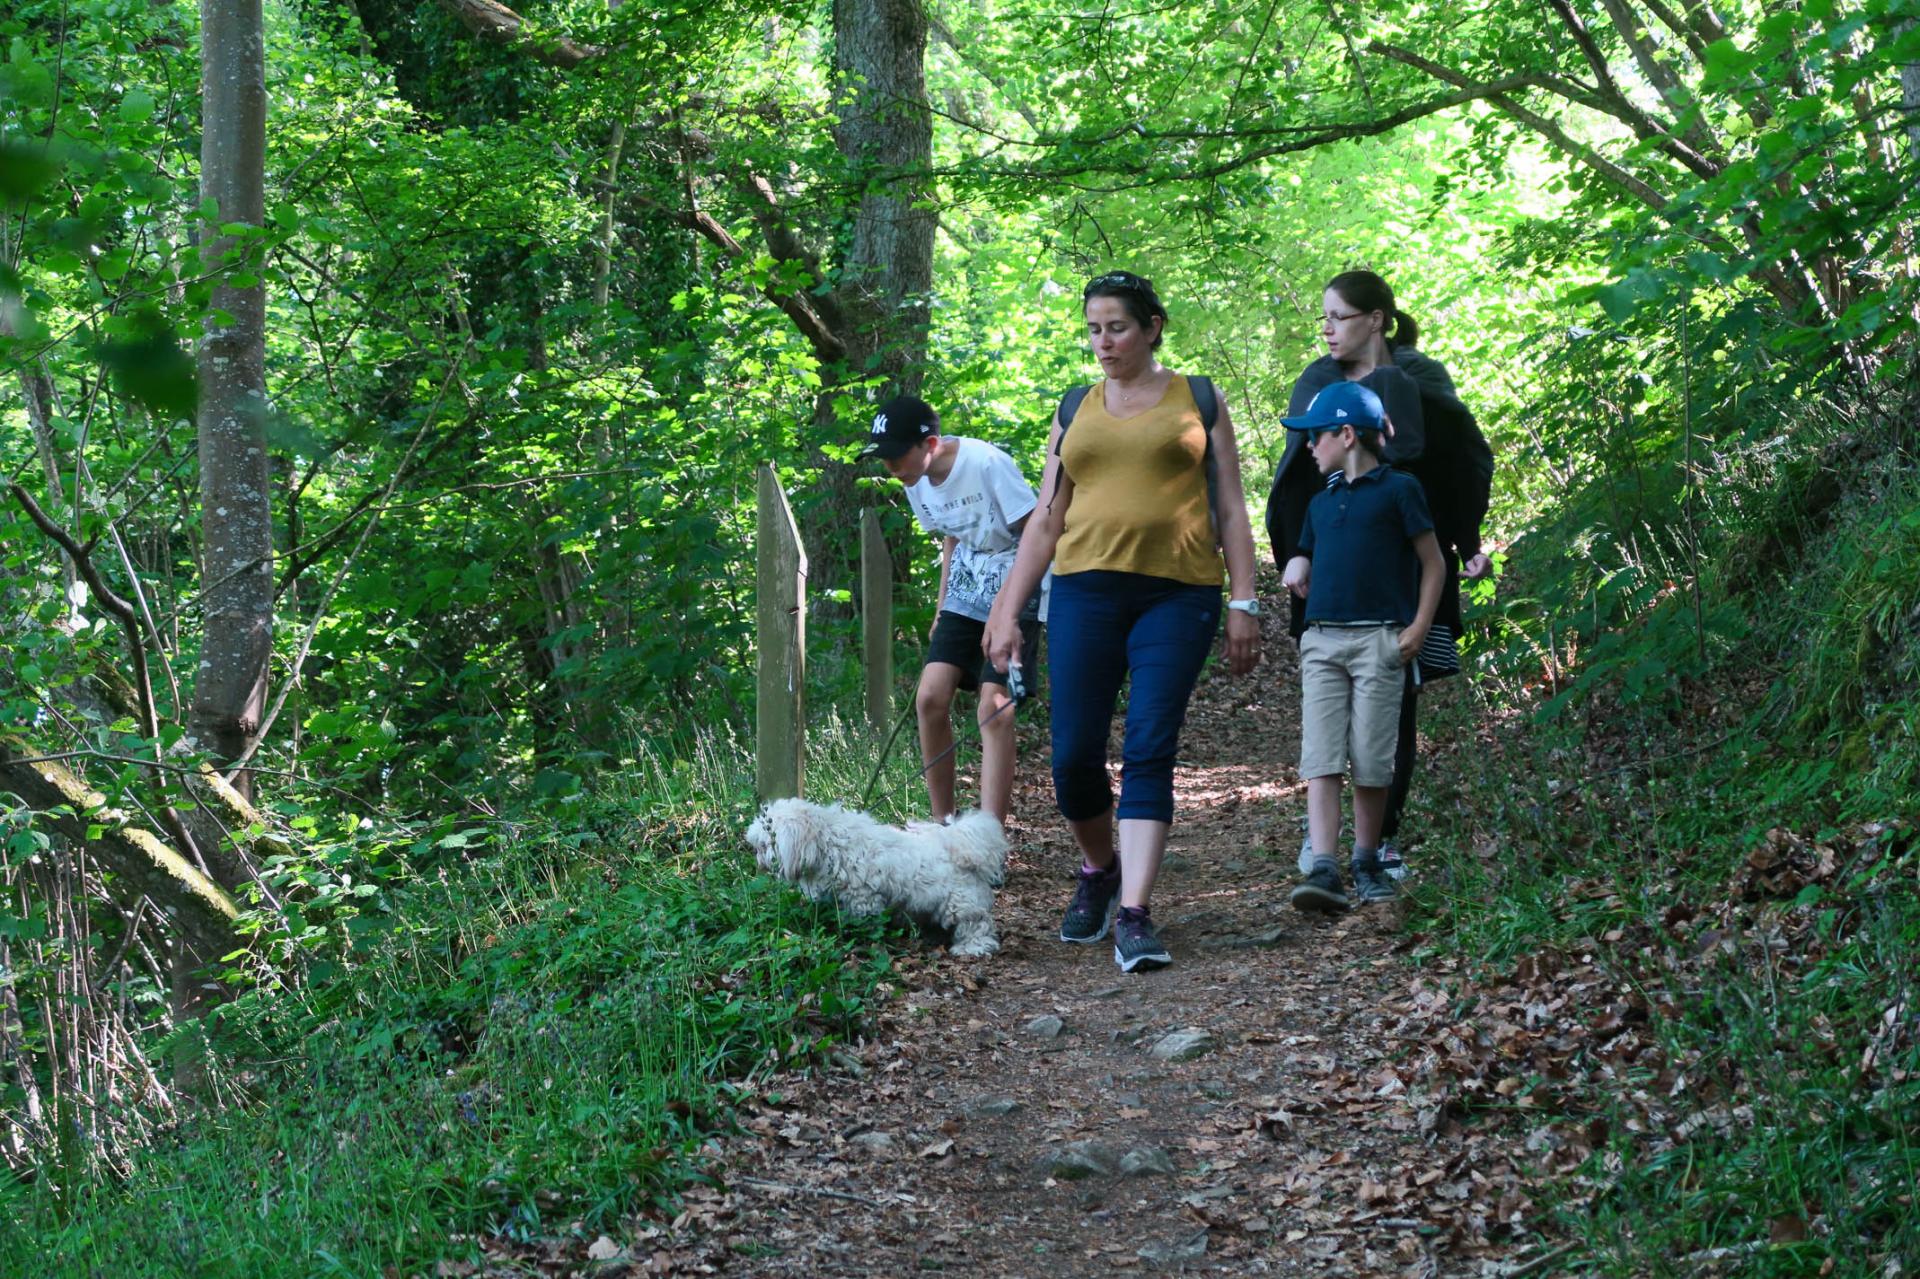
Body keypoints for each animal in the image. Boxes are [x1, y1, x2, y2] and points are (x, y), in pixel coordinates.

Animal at [748, 798, 1013, 956]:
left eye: (765, 844)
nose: (759, 860)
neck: (826, 841)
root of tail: (959, 850)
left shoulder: (862, 897)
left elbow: (863, 919)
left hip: (961, 905)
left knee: (977, 924)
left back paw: (973, 947)